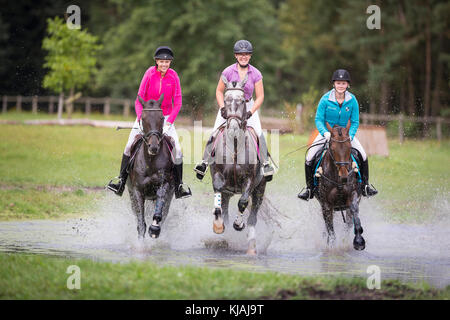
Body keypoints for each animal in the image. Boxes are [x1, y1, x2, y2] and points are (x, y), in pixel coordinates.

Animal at [208, 74, 268, 255]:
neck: (235, 145)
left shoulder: (249, 179)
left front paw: (238, 224)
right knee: (225, 207)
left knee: (253, 214)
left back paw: (251, 244)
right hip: (228, 193)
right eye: (226, 100)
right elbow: (218, 194)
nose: (234, 127)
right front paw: (218, 225)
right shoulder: (218, 176)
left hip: (260, 190)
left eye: (242, 101)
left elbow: (242, 202)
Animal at [312, 120, 366, 250]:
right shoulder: (326, 204)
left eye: (349, 146)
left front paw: (359, 240)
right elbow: (330, 229)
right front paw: (331, 246)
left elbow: (354, 213)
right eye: (332, 147)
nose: (344, 177)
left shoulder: (353, 195)